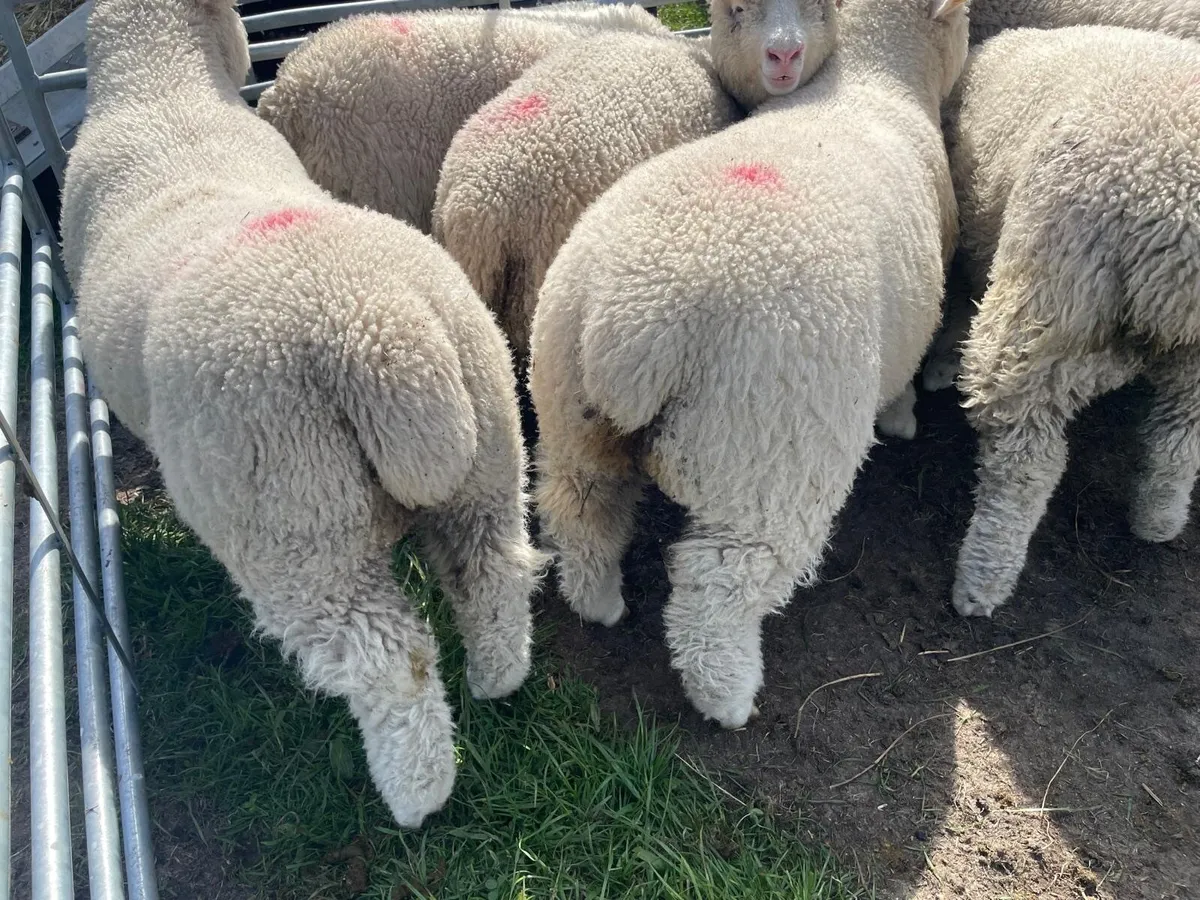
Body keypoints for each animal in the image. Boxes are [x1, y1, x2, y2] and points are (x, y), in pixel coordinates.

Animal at [62, 0, 546, 829]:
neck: (162, 83)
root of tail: (380, 337)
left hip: (298, 526)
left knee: (390, 663)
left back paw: (417, 795)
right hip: (483, 450)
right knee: (492, 572)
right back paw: (498, 680)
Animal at [528, 0, 969, 727]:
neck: (872, 78)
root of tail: (633, 320)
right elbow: (904, 378)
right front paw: (904, 418)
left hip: (571, 410)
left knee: (581, 510)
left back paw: (600, 602)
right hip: (765, 453)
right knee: (719, 582)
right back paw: (727, 695)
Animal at [939, 25, 1200, 618]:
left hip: (1049, 287)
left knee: (1026, 454)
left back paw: (981, 582)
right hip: (1186, 351)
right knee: (1179, 437)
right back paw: (1158, 518)